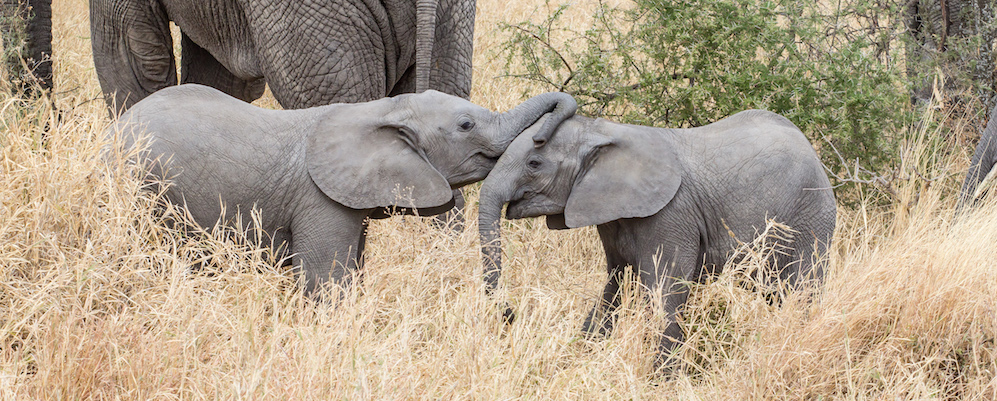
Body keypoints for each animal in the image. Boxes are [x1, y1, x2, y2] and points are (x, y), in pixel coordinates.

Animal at [111, 83, 576, 294]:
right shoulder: (319, 199)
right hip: (141, 190)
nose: (541, 137)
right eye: (465, 125)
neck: (382, 108)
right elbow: (327, 280)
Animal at [478, 110, 836, 362]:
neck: (603, 130)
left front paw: (658, 382)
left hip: (811, 218)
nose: (511, 313)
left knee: (801, 291)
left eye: (534, 163)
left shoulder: (670, 215)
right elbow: (614, 286)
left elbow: (665, 293)